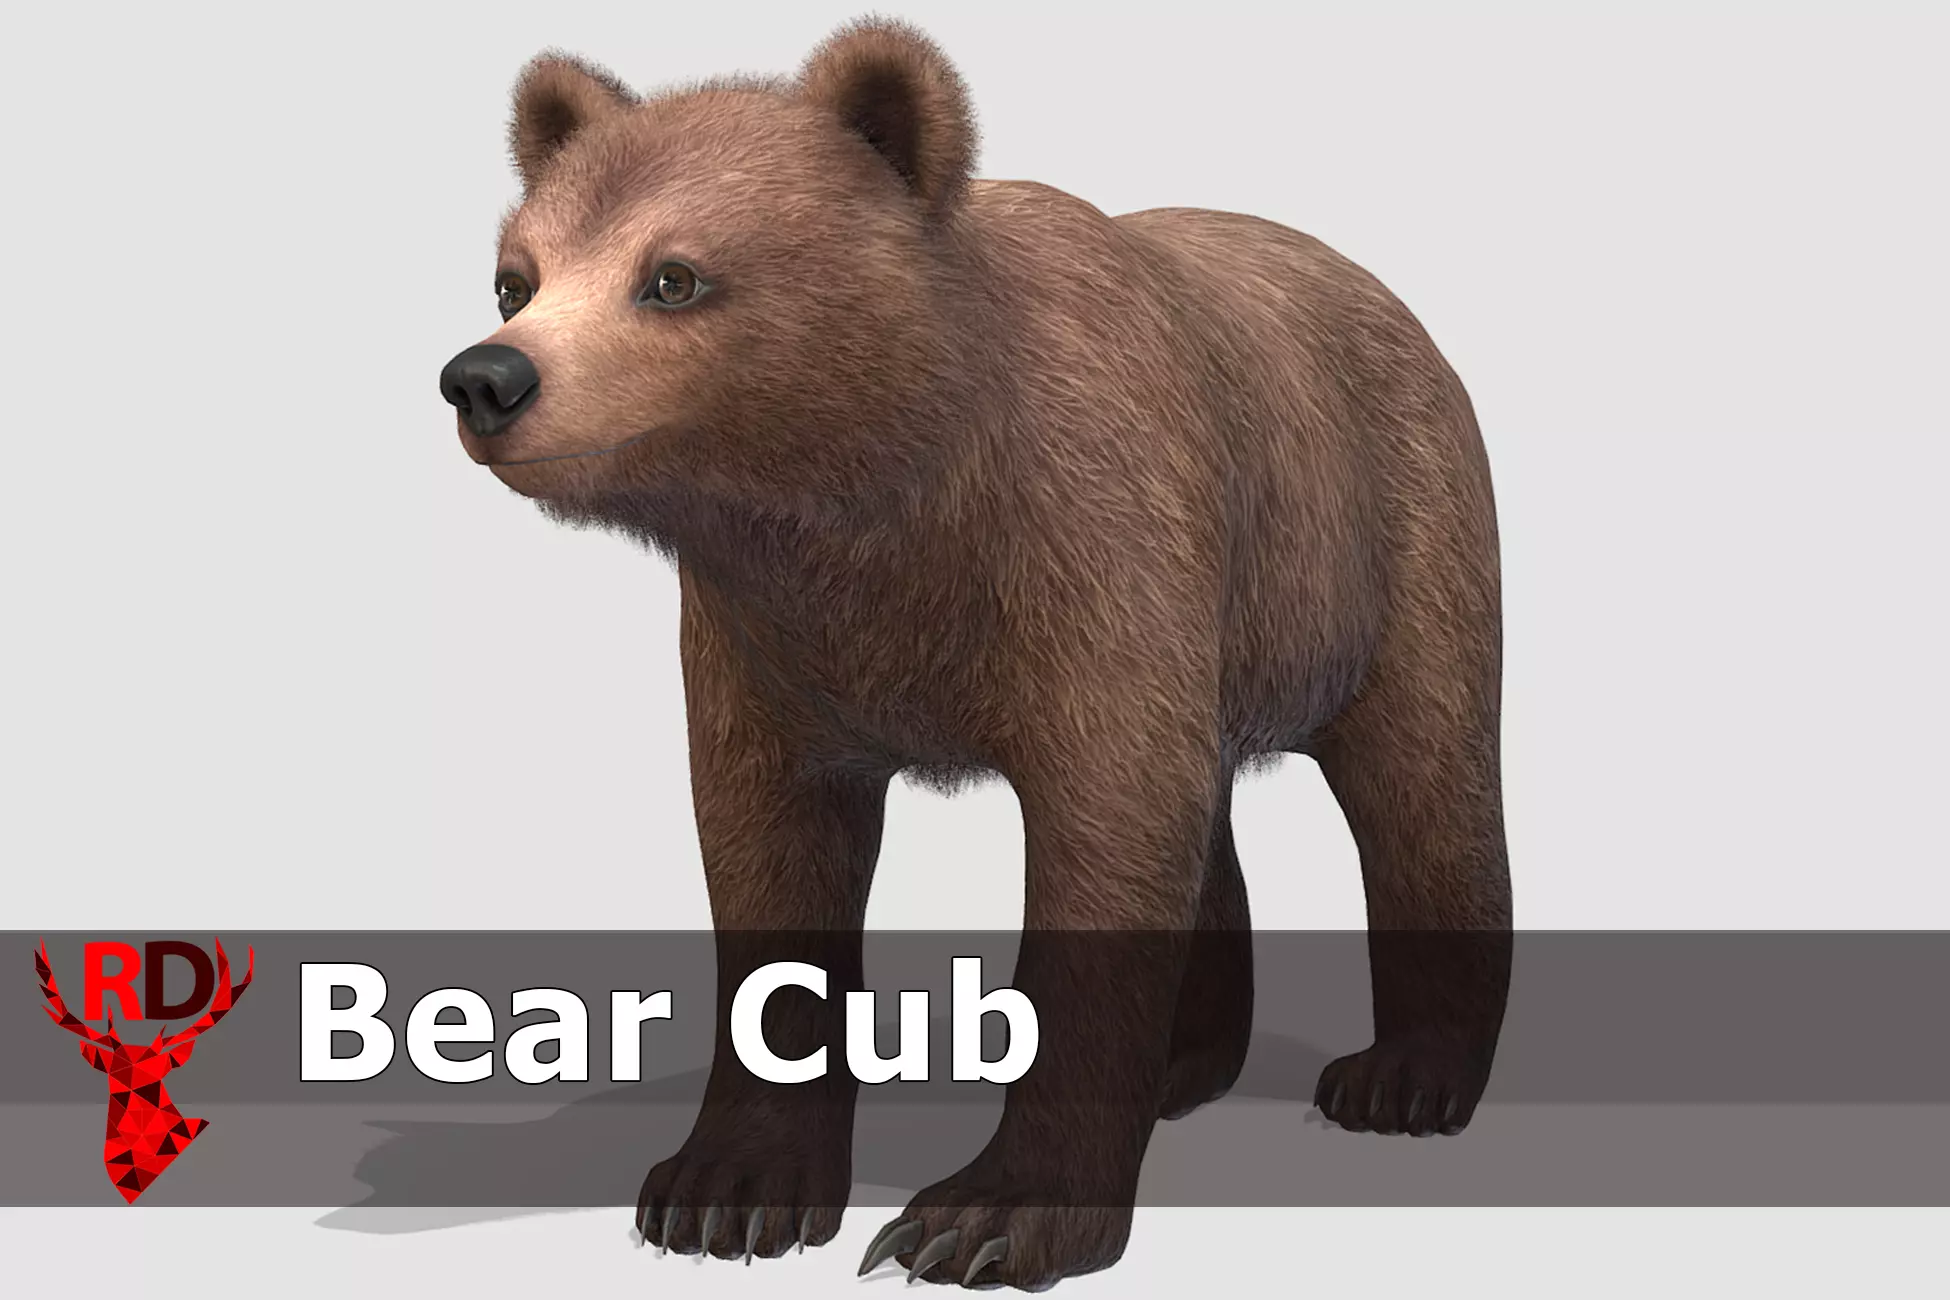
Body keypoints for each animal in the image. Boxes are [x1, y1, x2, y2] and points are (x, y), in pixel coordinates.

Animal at [438, 17, 1512, 1290]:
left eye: (674, 275)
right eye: (516, 276)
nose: (487, 376)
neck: (886, 498)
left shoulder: (1090, 547)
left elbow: (1107, 837)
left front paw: (985, 1213)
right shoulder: (770, 643)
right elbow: (769, 861)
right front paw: (726, 1186)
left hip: (1383, 541)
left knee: (1423, 781)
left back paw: (1406, 1075)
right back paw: (1187, 1061)